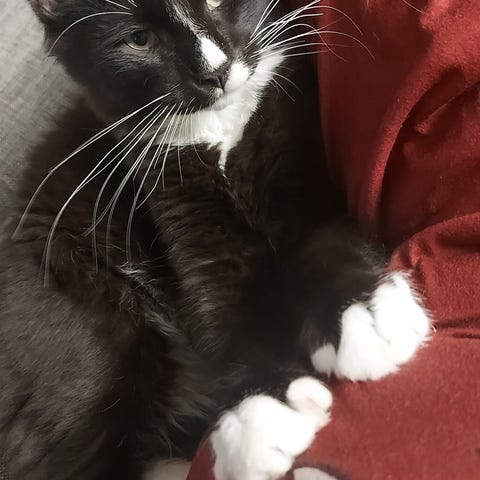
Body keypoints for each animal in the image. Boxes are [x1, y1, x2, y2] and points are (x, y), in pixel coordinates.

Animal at [0, 0, 430, 479]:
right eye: (139, 39)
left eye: (213, 2)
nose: (215, 72)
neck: (222, 128)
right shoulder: (178, 213)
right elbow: (217, 307)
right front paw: (261, 408)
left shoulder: (302, 161)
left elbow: (324, 238)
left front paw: (363, 311)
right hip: (92, 327)